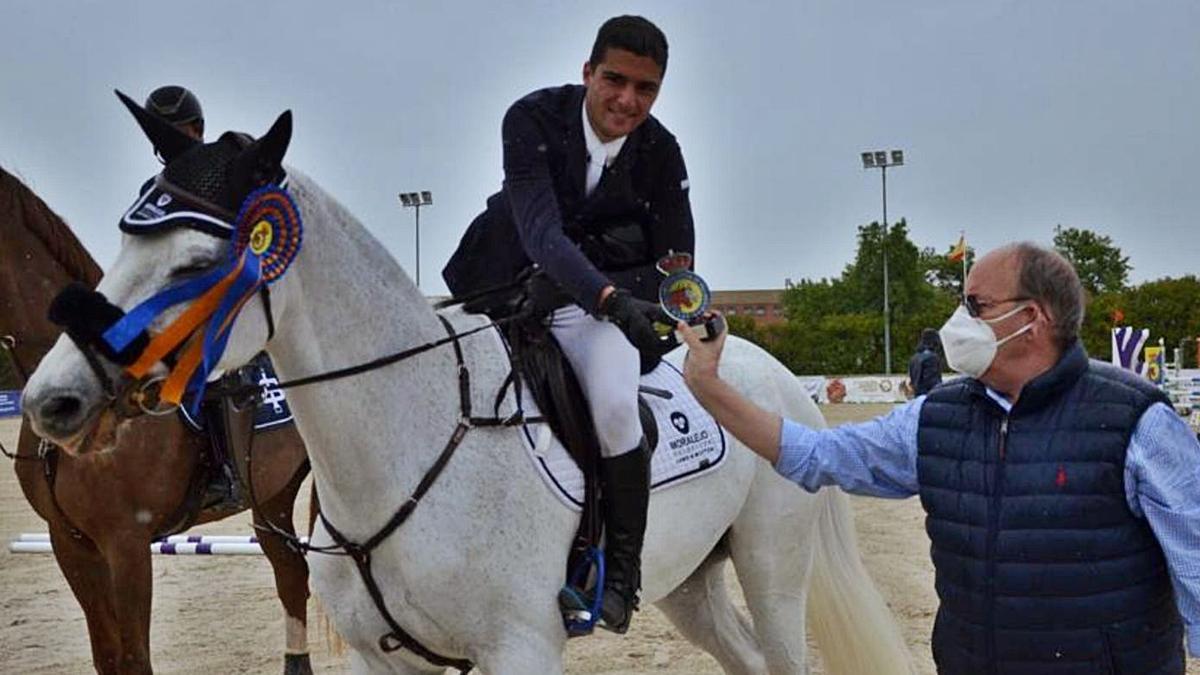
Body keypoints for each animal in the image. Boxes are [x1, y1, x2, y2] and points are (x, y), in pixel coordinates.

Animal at [0, 165, 312, 667]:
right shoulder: (70, 544)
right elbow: (108, 657)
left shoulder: (126, 544)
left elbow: (134, 658)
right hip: (273, 495)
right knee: (291, 575)